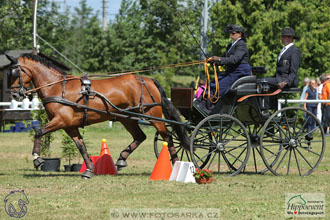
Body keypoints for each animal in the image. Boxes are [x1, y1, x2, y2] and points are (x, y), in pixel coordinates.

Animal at [6, 53, 189, 179]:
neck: (57, 87)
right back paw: (121, 159)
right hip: (126, 118)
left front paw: (37, 159)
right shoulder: (70, 126)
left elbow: (38, 132)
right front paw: (89, 170)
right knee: (140, 136)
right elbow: (81, 147)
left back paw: (175, 162)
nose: (14, 95)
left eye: (15, 72)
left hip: (153, 116)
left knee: (168, 136)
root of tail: (147, 80)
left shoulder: (61, 121)